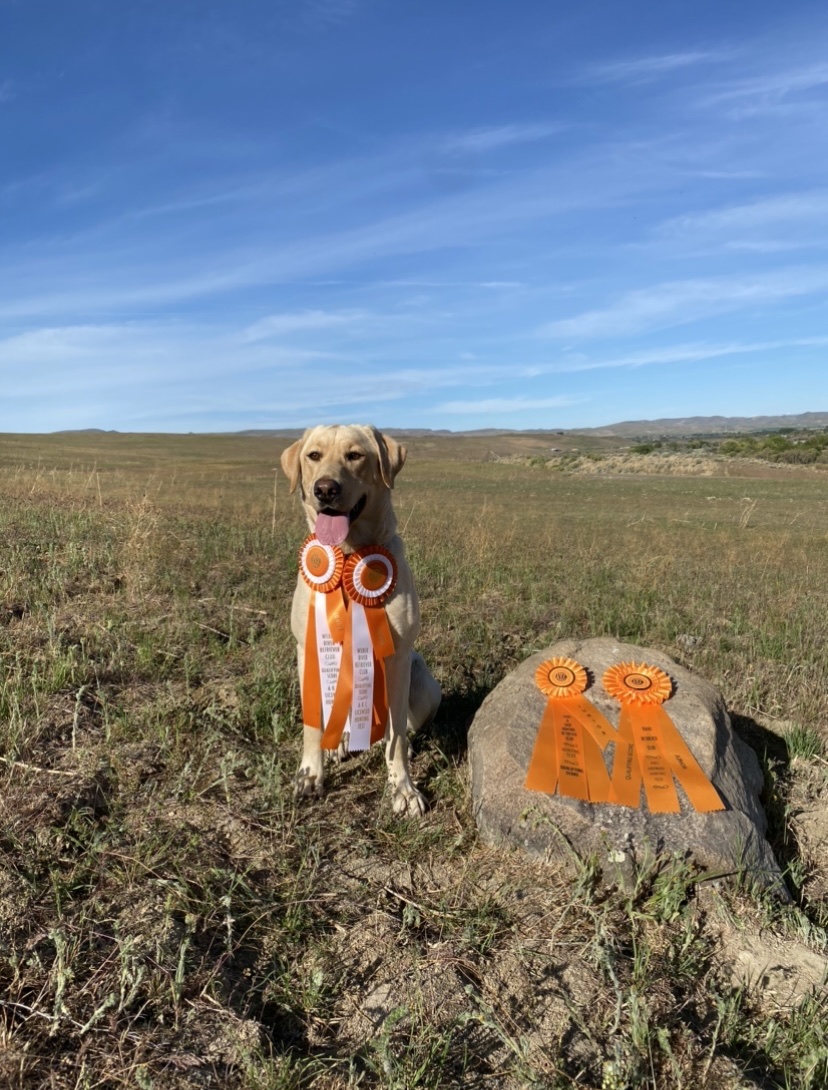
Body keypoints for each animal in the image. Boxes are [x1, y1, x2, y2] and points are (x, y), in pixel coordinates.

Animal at [281, 420, 442, 815]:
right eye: (313, 455)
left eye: (355, 455)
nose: (325, 489)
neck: (349, 554)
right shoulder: (307, 650)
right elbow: (312, 726)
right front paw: (310, 774)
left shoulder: (398, 658)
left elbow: (397, 736)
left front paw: (403, 789)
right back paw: (338, 744)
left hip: (424, 684)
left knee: (400, 728)